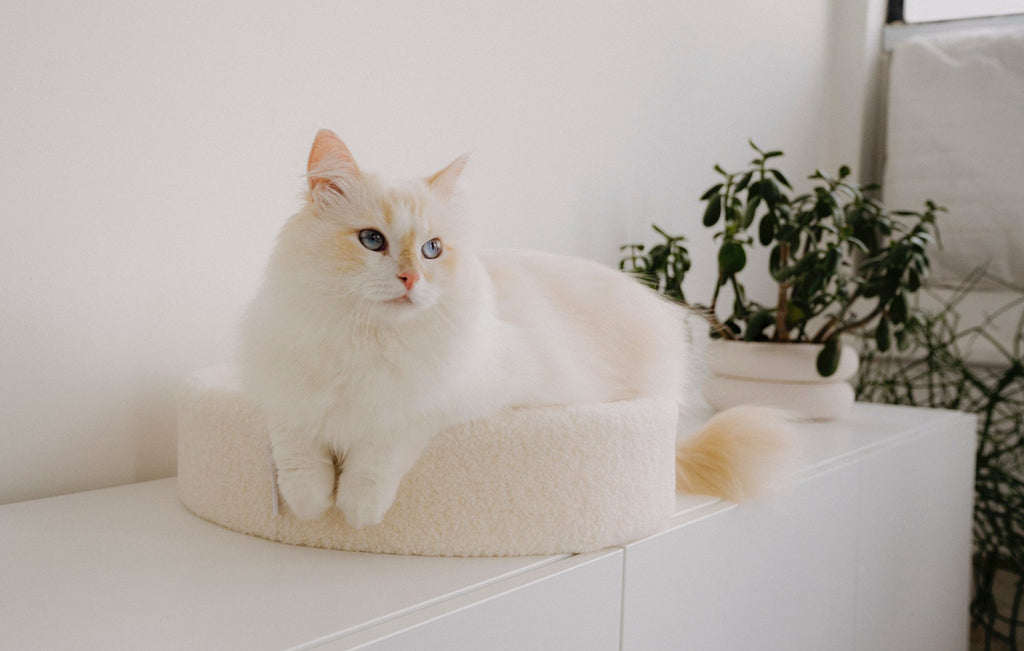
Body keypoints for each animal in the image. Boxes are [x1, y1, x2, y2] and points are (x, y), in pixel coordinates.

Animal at [237, 128, 790, 528]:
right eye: (372, 240)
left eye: (432, 249)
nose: (411, 278)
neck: (366, 342)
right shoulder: (280, 388)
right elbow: (297, 451)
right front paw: (310, 504)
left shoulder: (445, 399)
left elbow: (379, 449)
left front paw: (355, 509)